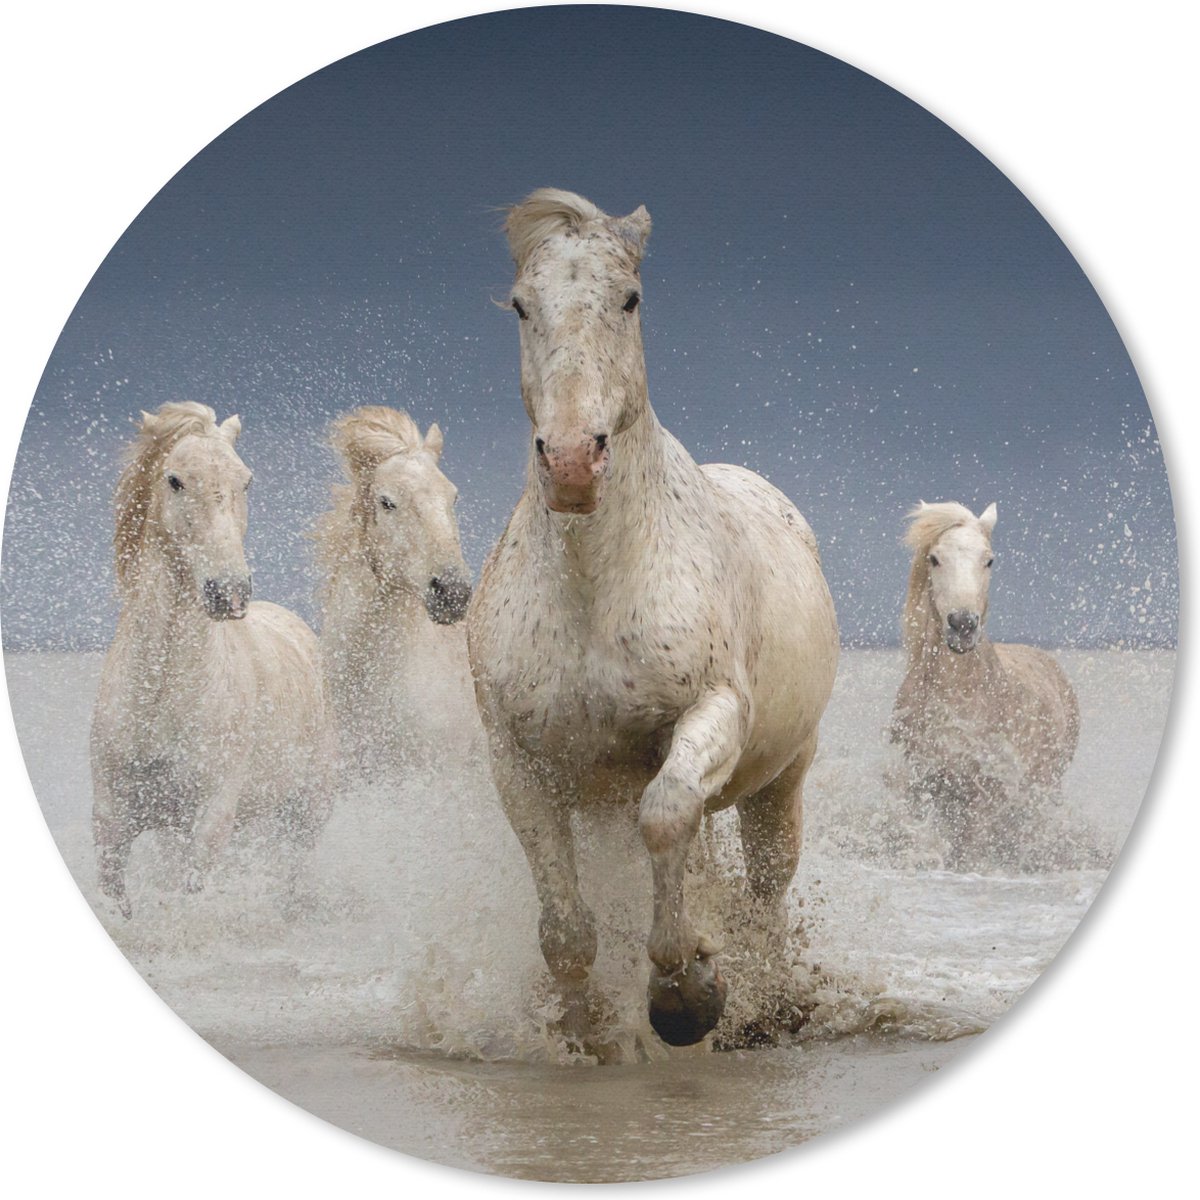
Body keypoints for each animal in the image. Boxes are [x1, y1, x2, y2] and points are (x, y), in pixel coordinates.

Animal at [90, 402, 335, 918]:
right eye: (175, 480)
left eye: (246, 481)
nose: (230, 592)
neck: (161, 693)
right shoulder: (113, 820)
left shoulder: (211, 818)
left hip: (305, 813)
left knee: (293, 875)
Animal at [467, 189, 839, 1050]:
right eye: (522, 306)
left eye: (630, 299)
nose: (574, 462)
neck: (595, 589)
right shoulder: (520, 761)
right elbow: (565, 929)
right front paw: (587, 1029)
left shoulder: (710, 713)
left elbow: (667, 818)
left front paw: (686, 995)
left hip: (783, 776)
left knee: (765, 886)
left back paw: (765, 1000)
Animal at [890, 501, 1080, 868]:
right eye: (934, 558)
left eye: (989, 559)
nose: (962, 624)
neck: (960, 697)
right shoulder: (925, 783)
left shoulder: (985, 796)